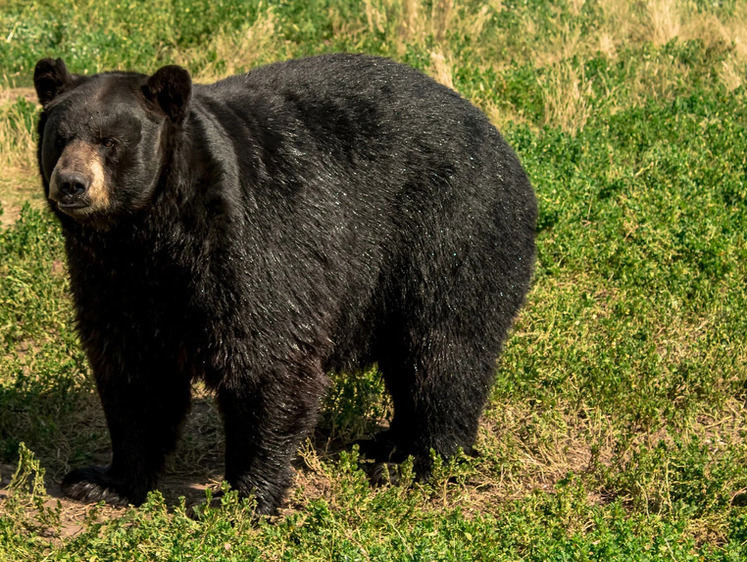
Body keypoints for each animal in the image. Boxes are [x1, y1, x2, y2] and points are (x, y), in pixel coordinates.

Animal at [35, 54, 536, 516]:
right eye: (59, 137)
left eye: (110, 141)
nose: (72, 183)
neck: (151, 234)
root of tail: (497, 135)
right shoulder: (111, 278)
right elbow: (135, 372)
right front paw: (102, 480)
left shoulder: (251, 246)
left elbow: (266, 359)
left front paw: (243, 497)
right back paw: (388, 442)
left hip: (448, 229)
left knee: (444, 350)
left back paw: (419, 460)